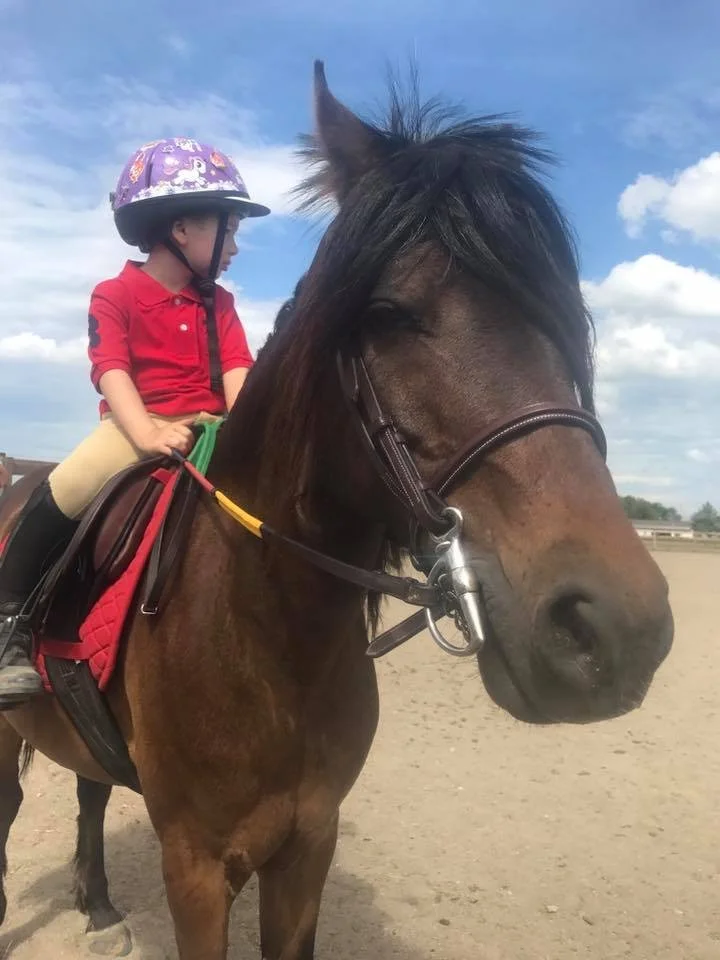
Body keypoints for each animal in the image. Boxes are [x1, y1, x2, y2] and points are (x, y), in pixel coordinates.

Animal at [0, 62, 673, 959]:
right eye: (386, 314)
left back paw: (103, 908)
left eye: (563, 312)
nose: (617, 629)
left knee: (90, 791)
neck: (268, 631)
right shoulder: (195, 869)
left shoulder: (307, 847)